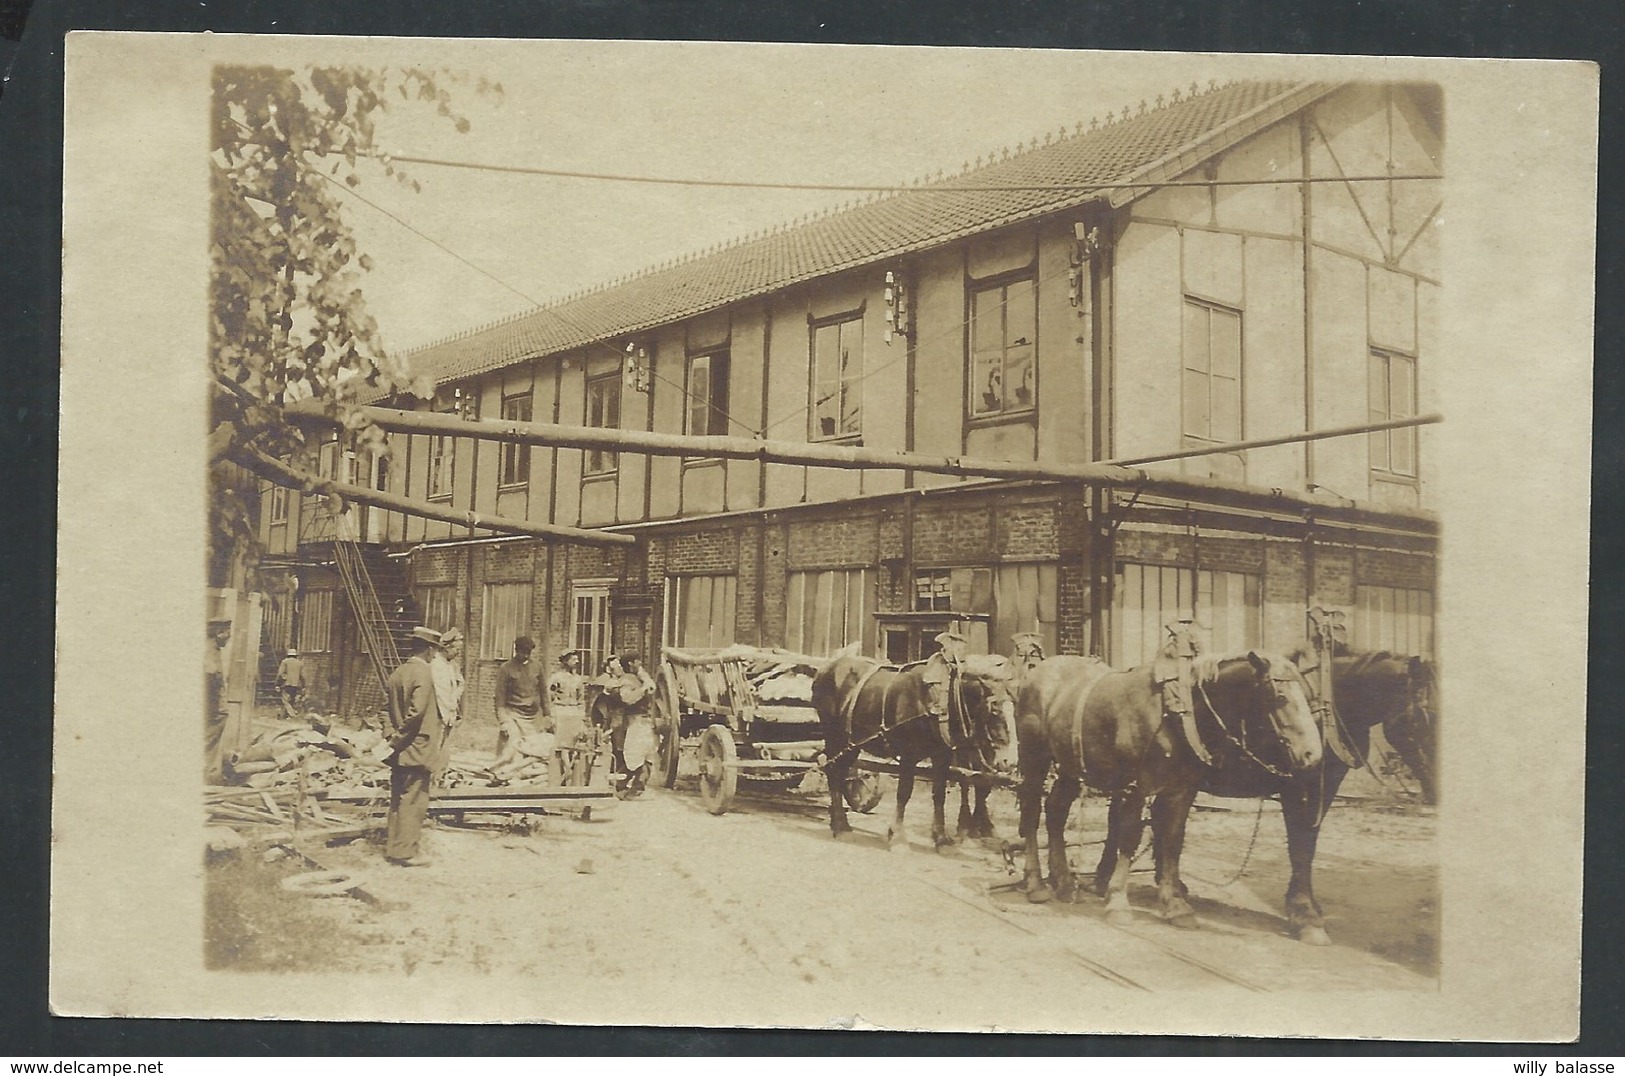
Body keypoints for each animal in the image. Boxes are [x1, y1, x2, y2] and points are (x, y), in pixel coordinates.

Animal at [812, 650, 1014, 851]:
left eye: (1015, 710)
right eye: (995, 710)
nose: (1009, 762)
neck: (941, 698)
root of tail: (823, 670)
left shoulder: (942, 754)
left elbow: (939, 794)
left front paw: (941, 839)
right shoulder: (908, 754)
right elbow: (904, 793)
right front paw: (898, 838)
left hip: (851, 743)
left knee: (840, 774)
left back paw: (837, 822)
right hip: (835, 737)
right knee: (833, 774)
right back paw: (841, 826)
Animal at [1014, 653, 1319, 929]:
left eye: (1307, 696)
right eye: (1280, 697)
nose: (1312, 754)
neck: (1177, 715)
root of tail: (1036, 671)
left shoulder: (1181, 791)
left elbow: (1172, 842)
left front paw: (1175, 905)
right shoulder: (1136, 789)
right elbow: (1128, 837)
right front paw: (1118, 902)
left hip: (1070, 765)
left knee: (1056, 810)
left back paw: (1064, 882)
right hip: (1034, 756)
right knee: (1031, 812)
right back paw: (1036, 883)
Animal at [1092, 650, 1436, 942]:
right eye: (1423, 716)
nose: (1434, 788)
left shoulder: (1326, 789)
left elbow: (1308, 846)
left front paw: (1306, 907)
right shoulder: (1299, 789)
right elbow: (1300, 848)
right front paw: (1305, 915)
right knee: (1122, 821)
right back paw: (1107, 881)